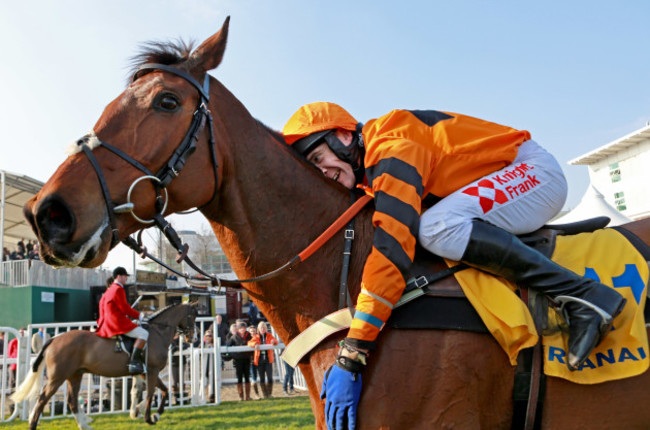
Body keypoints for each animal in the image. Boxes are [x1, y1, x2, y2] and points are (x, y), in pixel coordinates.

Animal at [12, 304, 195, 428]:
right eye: (193, 316)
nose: (193, 338)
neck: (157, 333)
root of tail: (54, 339)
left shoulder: (146, 372)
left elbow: (162, 391)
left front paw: (150, 414)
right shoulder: (152, 370)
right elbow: (151, 394)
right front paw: (149, 418)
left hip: (74, 375)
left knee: (71, 401)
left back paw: (84, 425)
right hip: (58, 377)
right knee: (43, 399)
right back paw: (33, 424)